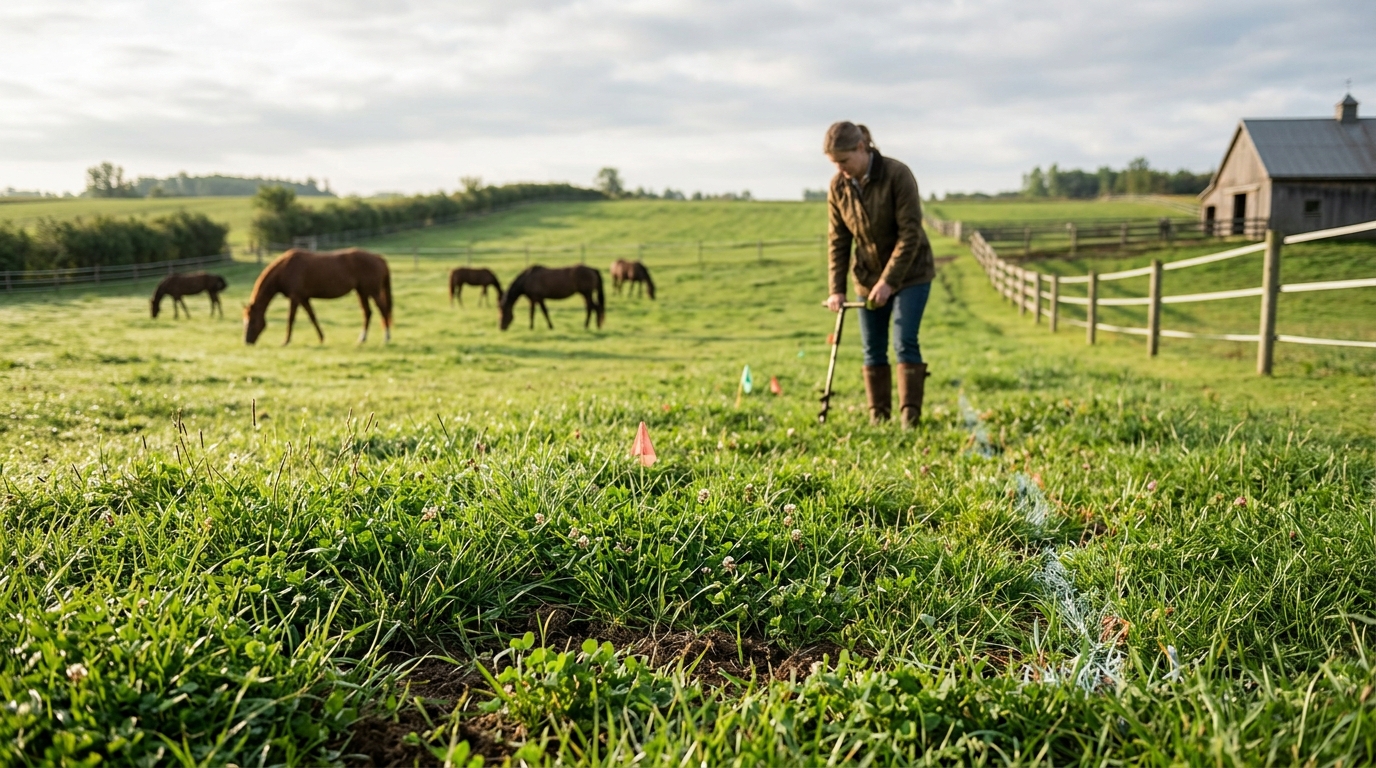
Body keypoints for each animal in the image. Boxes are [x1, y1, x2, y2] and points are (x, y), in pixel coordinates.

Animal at [243, 248, 392, 345]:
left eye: (252, 321)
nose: (247, 341)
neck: (285, 268)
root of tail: (378, 258)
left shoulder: (295, 297)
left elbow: (291, 319)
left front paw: (286, 341)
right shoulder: (304, 298)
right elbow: (312, 317)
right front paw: (321, 338)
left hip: (373, 292)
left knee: (383, 310)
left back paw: (386, 338)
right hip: (362, 292)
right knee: (367, 313)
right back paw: (362, 339)